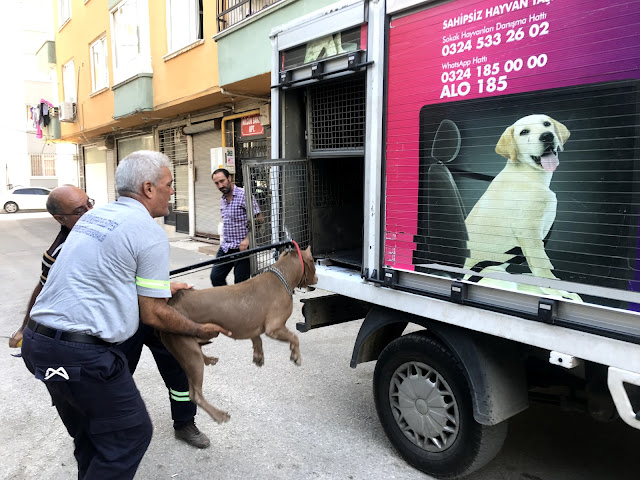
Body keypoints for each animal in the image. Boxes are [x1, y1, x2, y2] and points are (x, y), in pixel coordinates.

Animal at [161, 248, 318, 424]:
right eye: (314, 264)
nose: (317, 278)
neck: (282, 274)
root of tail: (172, 303)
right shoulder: (274, 327)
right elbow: (294, 337)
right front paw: (296, 356)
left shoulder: (251, 327)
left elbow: (257, 339)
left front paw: (258, 356)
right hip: (189, 352)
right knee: (195, 394)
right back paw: (219, 414)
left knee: (200, 350)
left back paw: (209, 359)